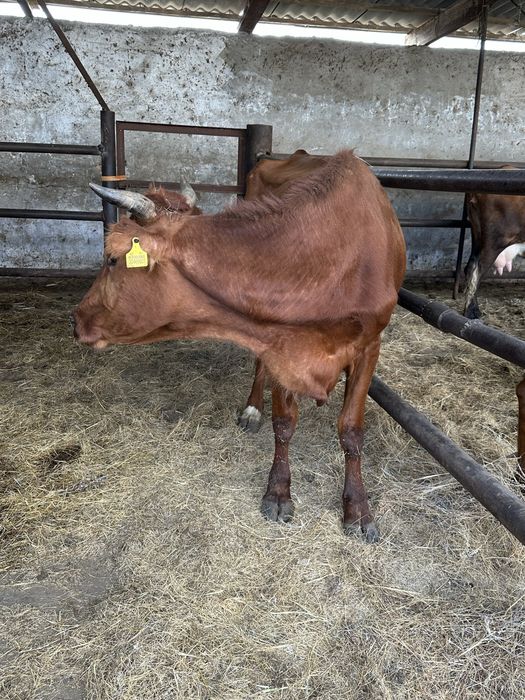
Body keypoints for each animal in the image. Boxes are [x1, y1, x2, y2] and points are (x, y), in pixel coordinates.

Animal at [73, 150, 406, 541]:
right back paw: (252, 409)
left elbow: (351, 431)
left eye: (112, 259)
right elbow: (284, 422)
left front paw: (358, 509)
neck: (326, 260)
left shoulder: (370, 345)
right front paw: (278, 492)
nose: (76, 318)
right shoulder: (278, 342)